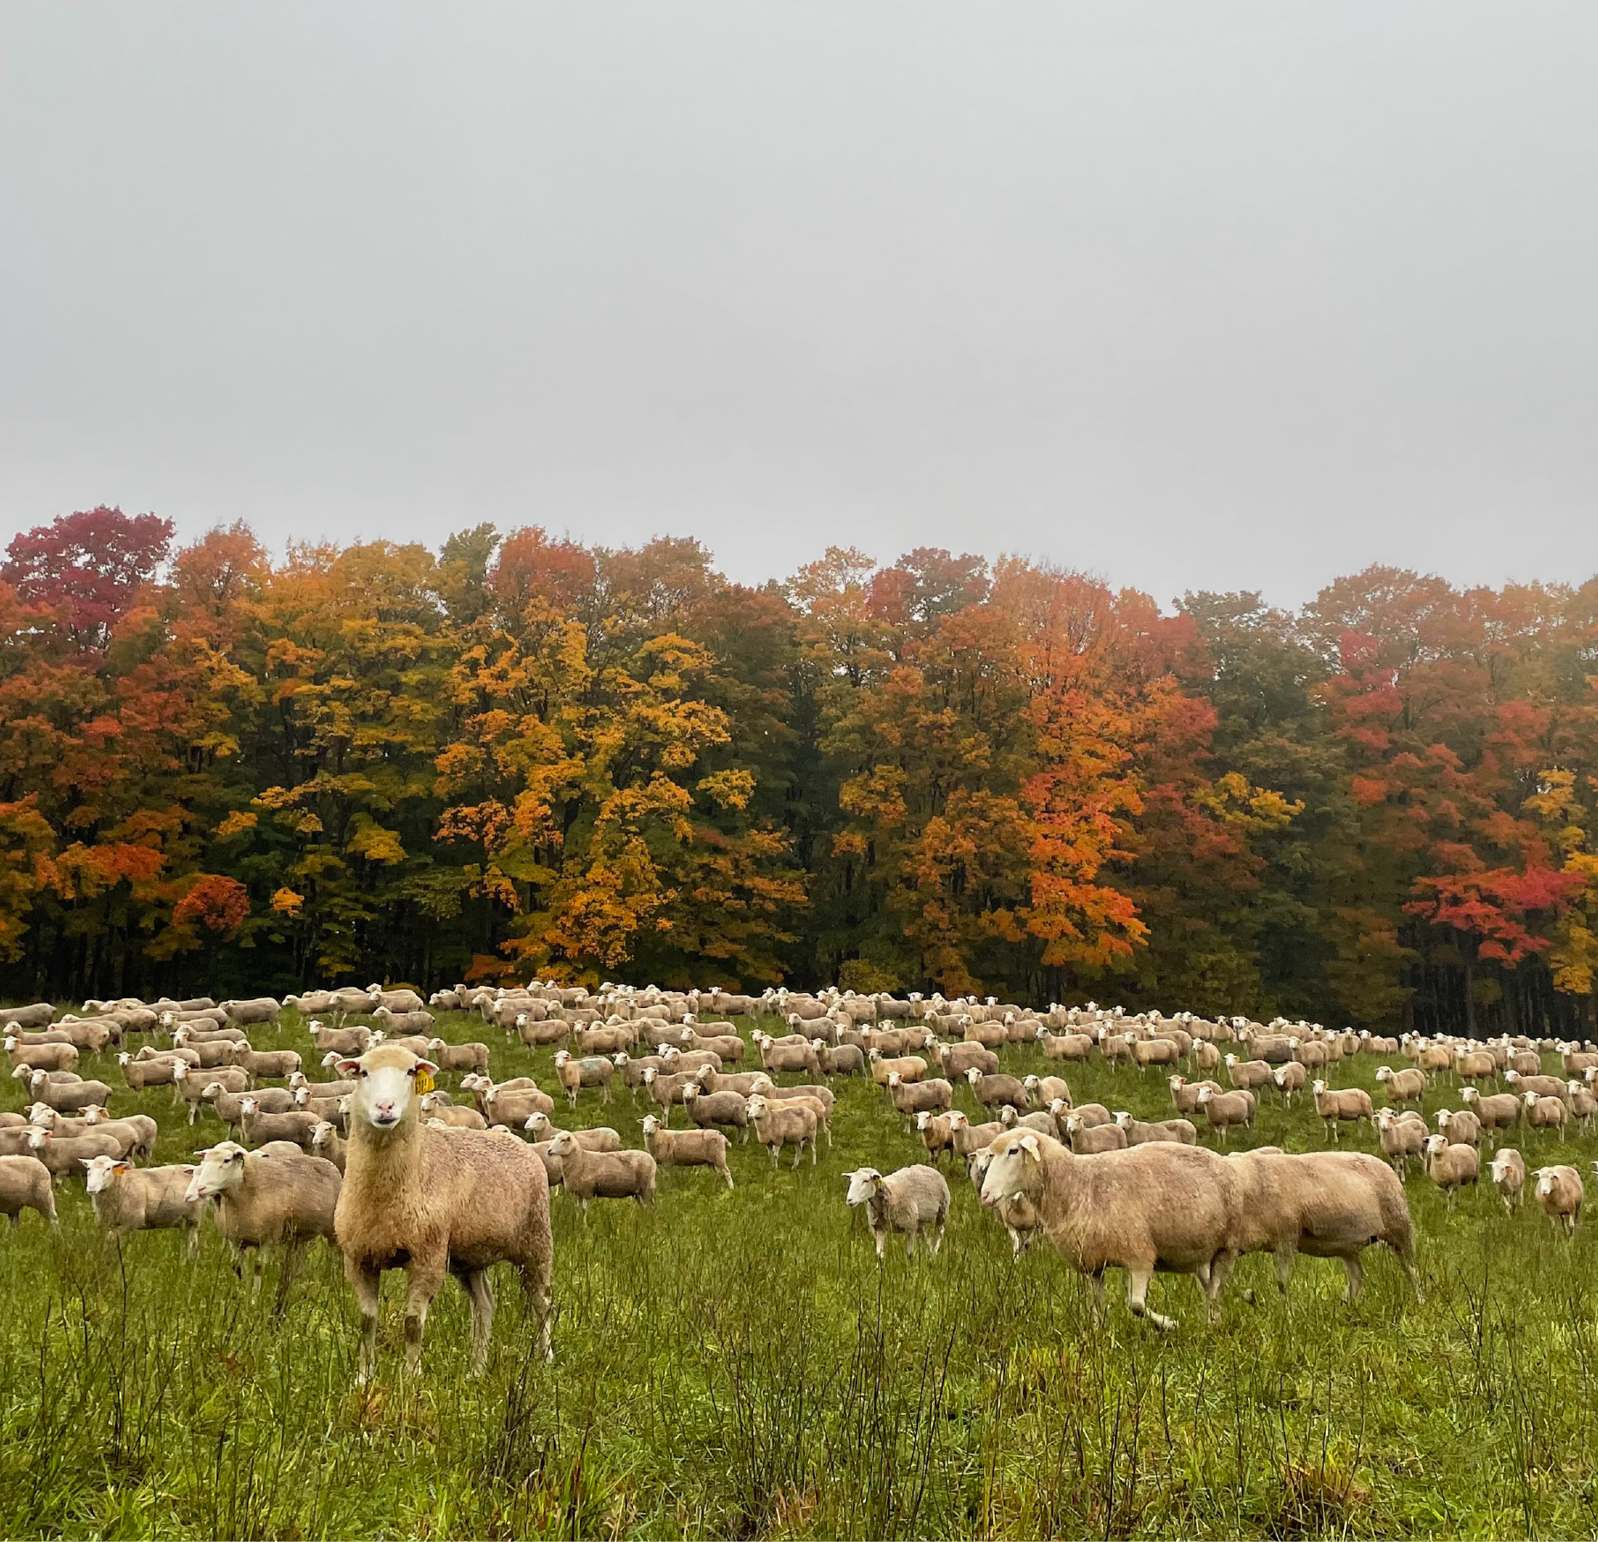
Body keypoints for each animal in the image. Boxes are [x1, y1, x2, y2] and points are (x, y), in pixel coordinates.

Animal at [978, 1132, 1236, 1330]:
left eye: (1013, 1151)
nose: (985, 1195)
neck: (1073, 1183)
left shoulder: (1139, 1253)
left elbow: (1136, 1305)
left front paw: (1168, 1324)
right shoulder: (1092, 1261)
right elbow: (1096, 1303)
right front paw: (1098, 1334)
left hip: (1226, 1248)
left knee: (1215, 1289)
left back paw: (1211, 1325)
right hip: (1202, 1255)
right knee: (1210, 1289)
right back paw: (1211, 1322)